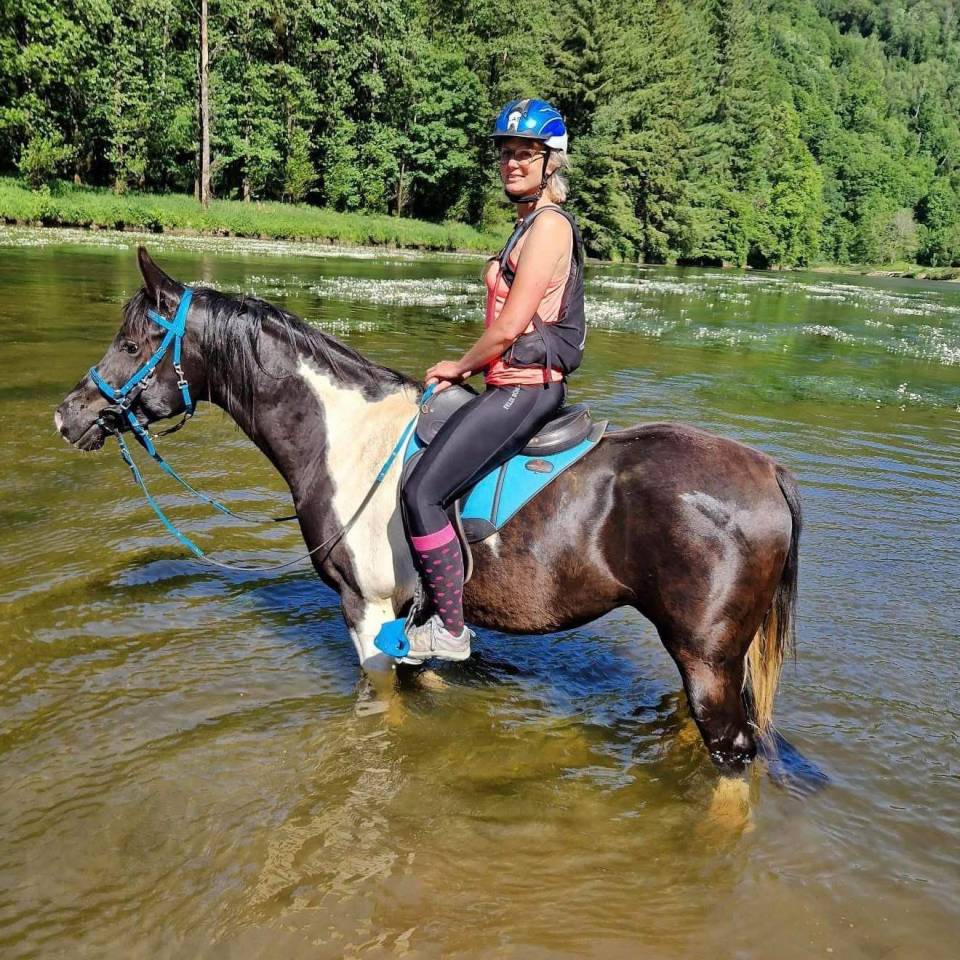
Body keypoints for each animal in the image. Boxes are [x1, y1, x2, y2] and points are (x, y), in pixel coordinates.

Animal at [55, 248, 801, 775]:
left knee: (734, 759)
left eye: (131, 343)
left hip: (707, 660)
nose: (67, 416)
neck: (342, 436)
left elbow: (382, 713)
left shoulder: (365, 608)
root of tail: (767, 469)